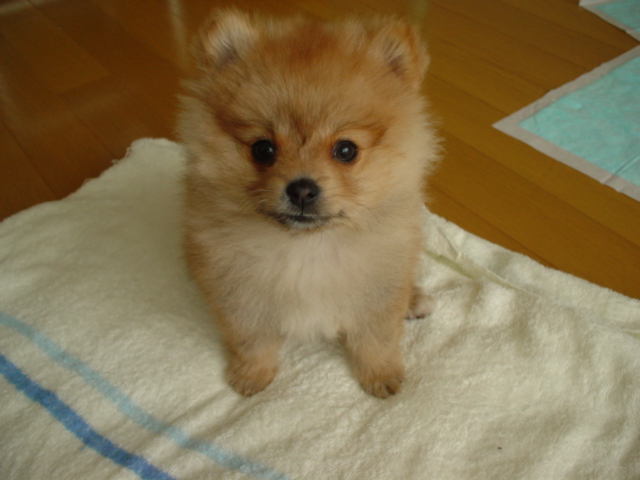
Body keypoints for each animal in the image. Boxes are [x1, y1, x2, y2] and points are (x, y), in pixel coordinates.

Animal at [177, 10, 439, 398]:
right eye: (263, 149)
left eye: (346, 150)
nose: (301, 189)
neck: (307, 248)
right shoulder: (241, 296)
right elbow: (251, 341)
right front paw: (252, 376)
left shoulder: (376, 292)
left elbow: (376, 339)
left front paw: (380, 375)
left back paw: (415, 300)